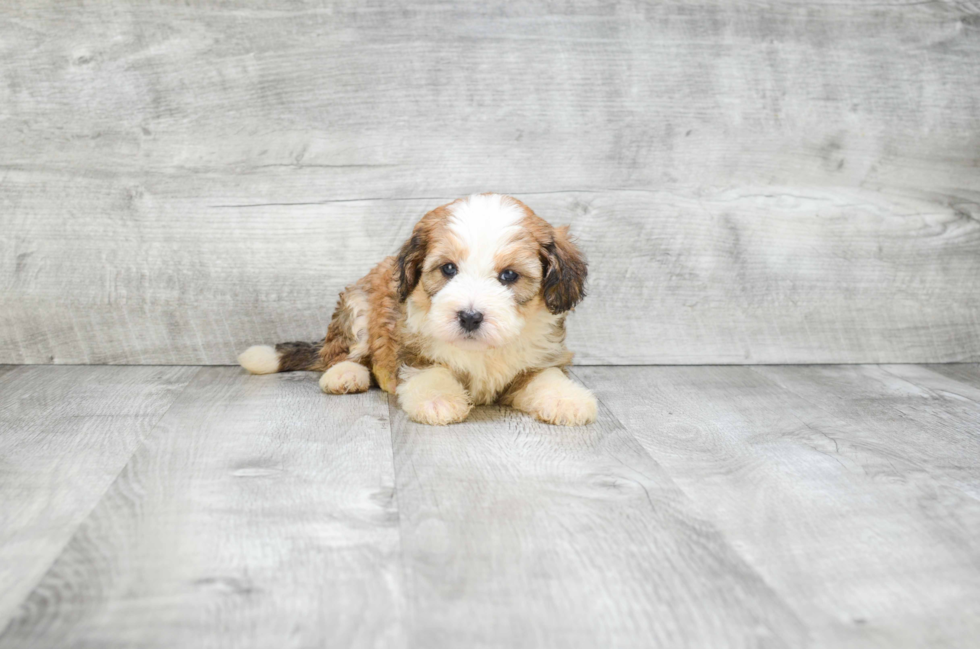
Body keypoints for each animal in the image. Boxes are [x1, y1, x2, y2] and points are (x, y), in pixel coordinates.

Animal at [239, 192, 596, 426]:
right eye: (448, 269)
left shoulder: (538, 356)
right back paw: (345, 374)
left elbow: (545, 376)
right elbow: (431, 371)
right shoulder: (411, 349)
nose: (469, 317)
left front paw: (568, 399)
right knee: (341, 353)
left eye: (509, 275)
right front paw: (438, 400)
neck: (480, 351)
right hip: (358, 308)